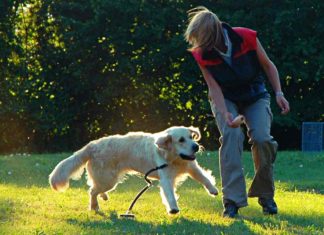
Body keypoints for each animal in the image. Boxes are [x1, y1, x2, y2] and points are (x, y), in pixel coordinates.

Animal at [48, 126, 218, 214]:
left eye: (191, 137)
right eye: (181, 140)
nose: (196, 147)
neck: (174, 158)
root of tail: (92, 145)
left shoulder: (192, 167)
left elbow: (204, 178)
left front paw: (213, 190)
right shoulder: (166, 178)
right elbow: (170, 194)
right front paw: (173, 208)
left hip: (107, 180)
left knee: (94, 187)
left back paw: (103, 197)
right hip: (108, 179)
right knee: (92, 191)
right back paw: (94, 206)